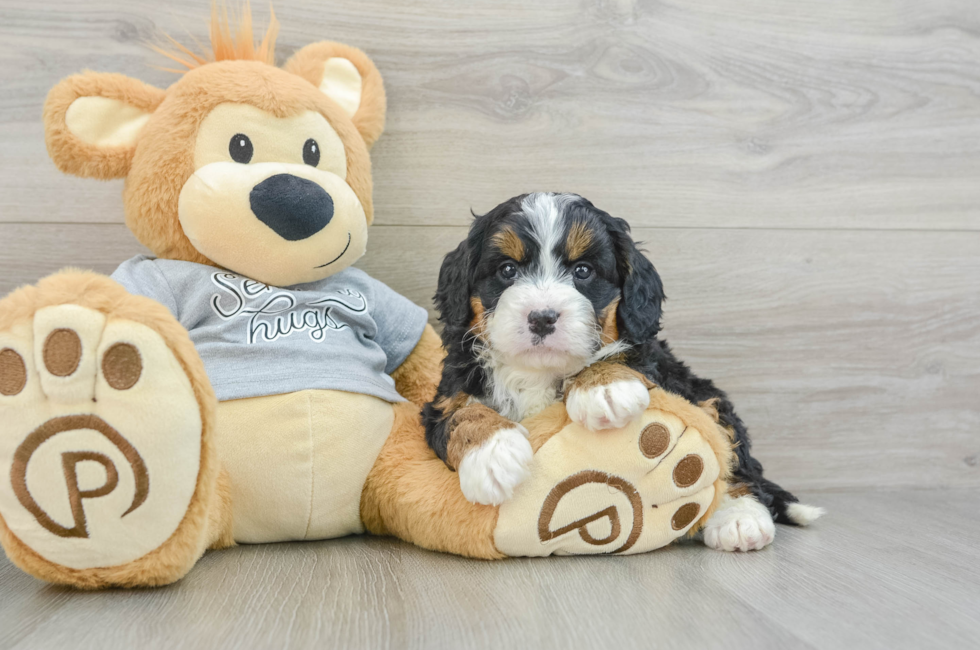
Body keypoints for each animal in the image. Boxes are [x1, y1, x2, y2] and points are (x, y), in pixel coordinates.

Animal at [424, 191, 828, 548]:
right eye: (507, 270)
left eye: (583, 271)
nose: (541, 317)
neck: (538, 371)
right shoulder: (444, 395)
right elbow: (461, 412)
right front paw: (493, 455)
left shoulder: (656, 363)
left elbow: (616, 354)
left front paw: (603, 389)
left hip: (705, 395)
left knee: (734, 457)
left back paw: (740, 518)